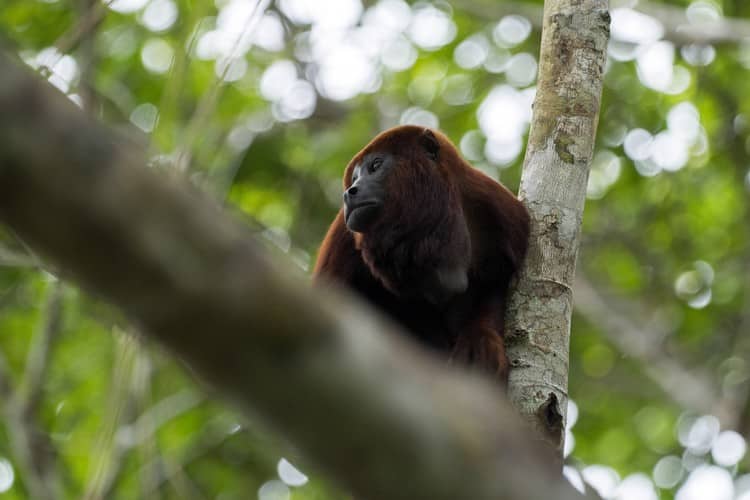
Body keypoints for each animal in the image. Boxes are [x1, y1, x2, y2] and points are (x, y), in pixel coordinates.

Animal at [312, 126, 528, 382]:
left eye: (376, 165)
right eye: (354, 179)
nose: (349, 192)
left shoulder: (503, 212)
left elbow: (497, 284)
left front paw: (481, 338)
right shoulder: (344, 236)